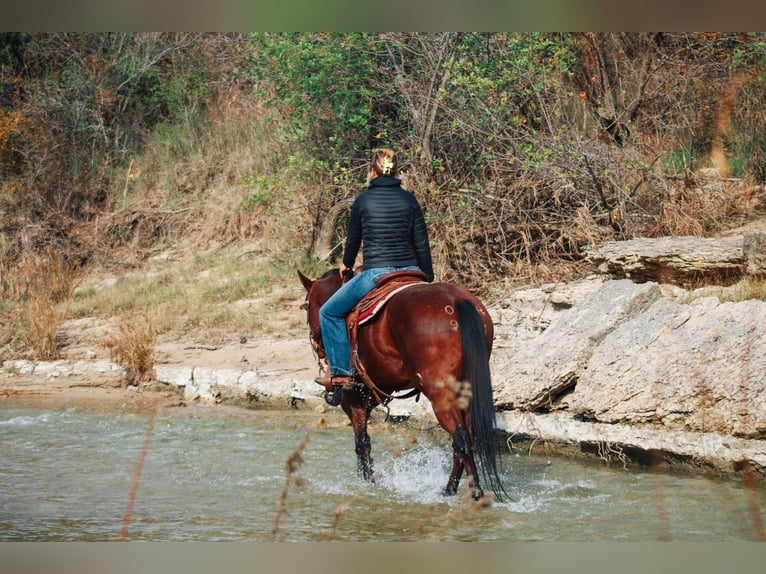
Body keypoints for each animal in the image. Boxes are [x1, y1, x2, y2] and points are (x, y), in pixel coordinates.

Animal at [296, 270, 508, 504]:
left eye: (306, 305)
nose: (318, 347)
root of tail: (457, 301)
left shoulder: (353, 400)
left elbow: (362, 443)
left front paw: (369, 483)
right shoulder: (369, 397)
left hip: (441, 396)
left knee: (460, 439)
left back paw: (474, 492)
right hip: (466, 395)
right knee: (465, 439)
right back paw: (450, 490)